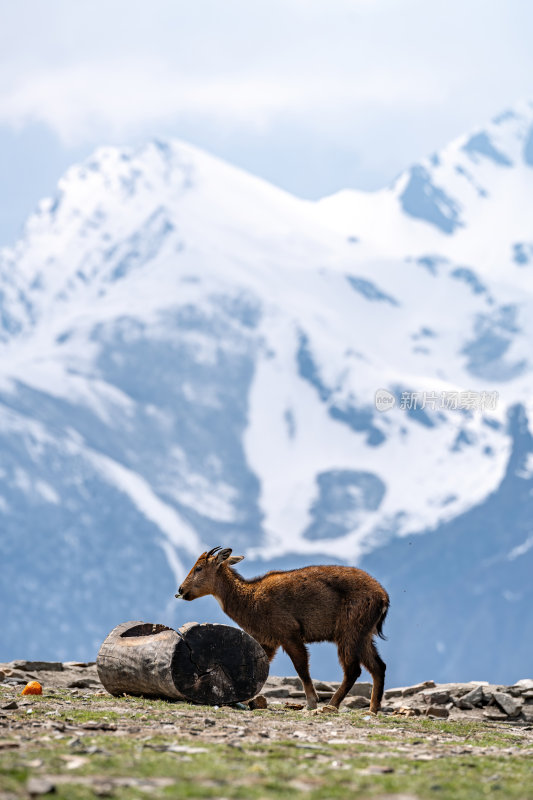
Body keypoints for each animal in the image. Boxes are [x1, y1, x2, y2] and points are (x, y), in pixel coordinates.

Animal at [177, 544, 388, 712]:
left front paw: (311, 702)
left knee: (353, 670)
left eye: (199, 567)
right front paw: (243, 700)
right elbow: (258, 668)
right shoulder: (268, 641)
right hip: (363, 635)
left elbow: (301, 667)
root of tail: (383, 598)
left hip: (349, 632)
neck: (250, 600)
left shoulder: (289, 634)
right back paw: (373, 708)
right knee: (378, 666)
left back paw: (332, 704)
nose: (180, 590)